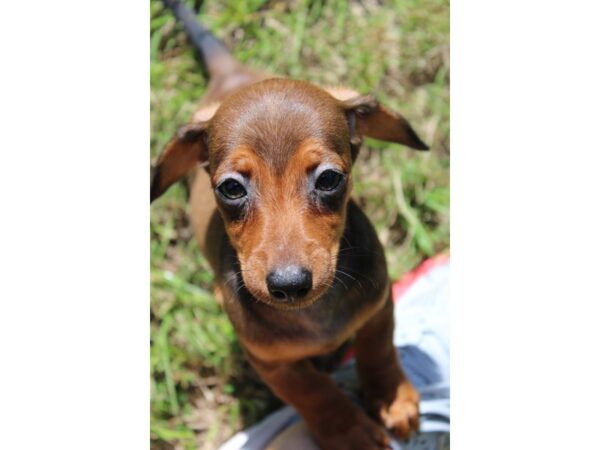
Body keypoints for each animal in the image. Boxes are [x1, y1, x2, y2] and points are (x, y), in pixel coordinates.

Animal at [152, 1, 428, 448]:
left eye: (329, 179)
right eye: (231, 188)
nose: (289, 284)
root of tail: (230, 77)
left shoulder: (378, 305)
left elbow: (379, 349)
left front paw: (391, 397)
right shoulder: (271, 362)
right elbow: (314, 391)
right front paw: (348, 430)